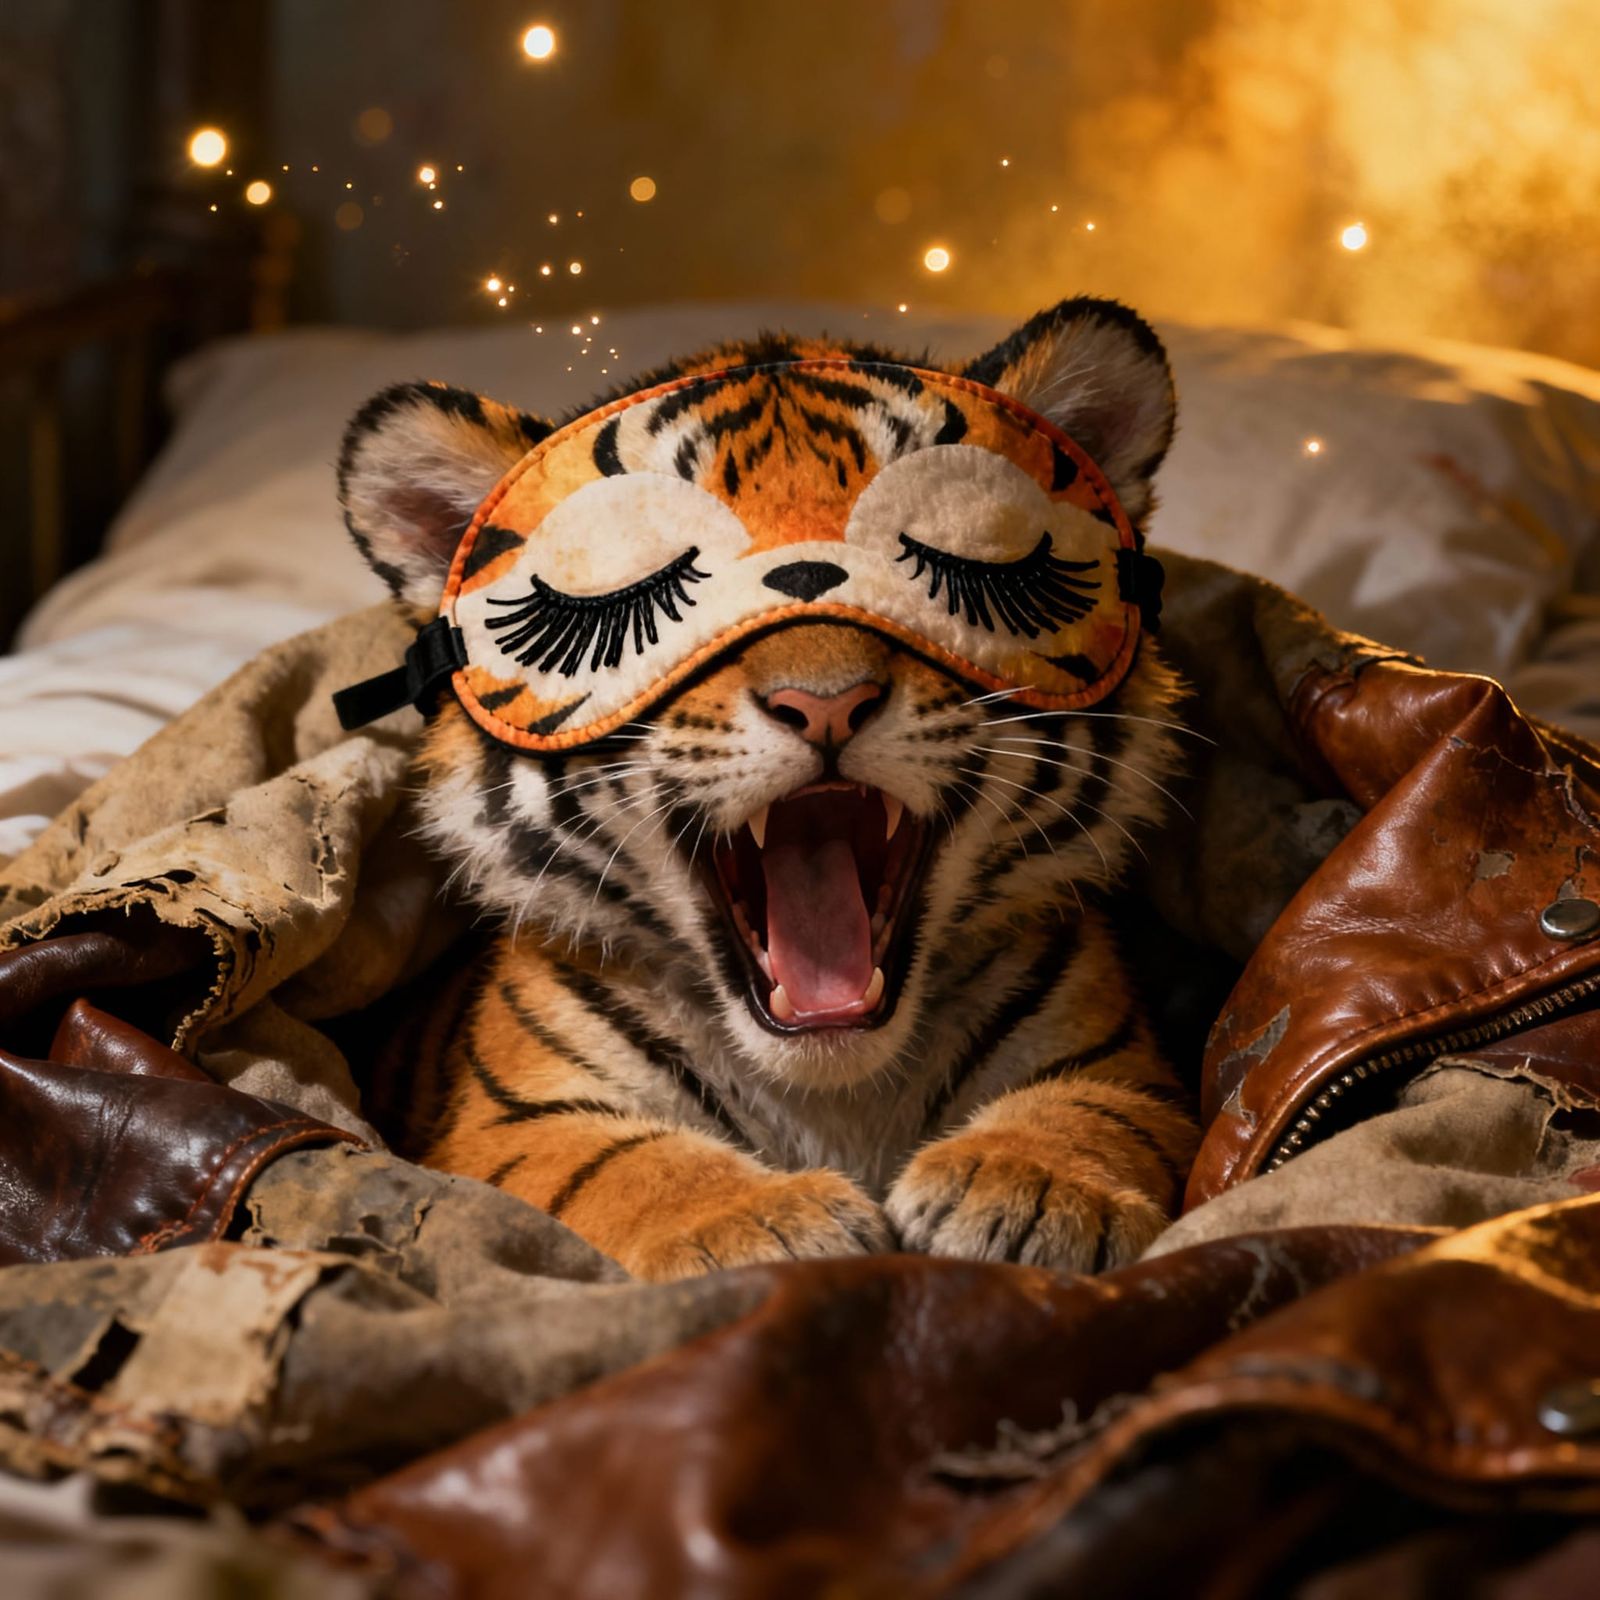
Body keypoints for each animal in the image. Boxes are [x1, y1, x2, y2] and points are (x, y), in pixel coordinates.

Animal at [336, 295, 1199, 1282]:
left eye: (964, 565)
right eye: (632, 598)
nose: (826, 703)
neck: (834, 1086)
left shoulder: (1127, 1066)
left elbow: (1091, 1109)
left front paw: (1034, 1187)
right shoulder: (508, 1121)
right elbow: (620, 1161)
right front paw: (756, 1223)